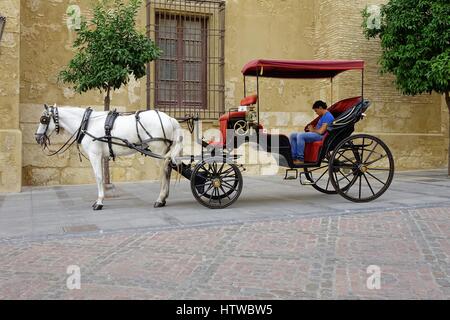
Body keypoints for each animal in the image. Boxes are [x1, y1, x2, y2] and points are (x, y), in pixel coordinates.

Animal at [34, 104, 184, 211]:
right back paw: (163, 198)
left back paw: (160, 199)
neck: (87, 123)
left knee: (164, 172)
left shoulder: (94, 155)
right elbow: (100, 177)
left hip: (158, 152)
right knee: (168, 170)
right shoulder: (100, 156)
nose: (37, 137)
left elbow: (99, 177)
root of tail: (169, 118)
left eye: (43, 120)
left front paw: (99, 202)